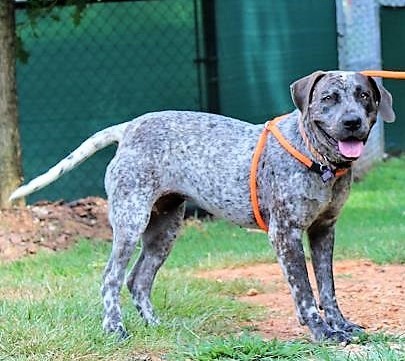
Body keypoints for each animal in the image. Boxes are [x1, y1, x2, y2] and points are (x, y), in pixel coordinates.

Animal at [10, 71, 394, 344]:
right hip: (130, 224)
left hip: (164, 231)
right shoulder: (285, 234)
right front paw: (323, 333)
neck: (320, 162)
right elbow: (305, 292)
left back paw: (156, 326)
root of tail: (130, 127)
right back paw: (115, 330)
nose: (352, 122)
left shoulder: (323, 231)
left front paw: (342, 325)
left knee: (138, 280)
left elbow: (328, 289)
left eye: (364, 96)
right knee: (111, 278)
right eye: (329, 98)